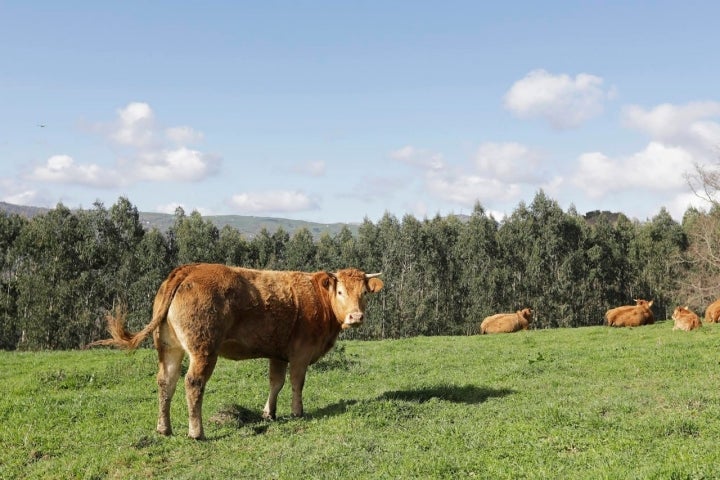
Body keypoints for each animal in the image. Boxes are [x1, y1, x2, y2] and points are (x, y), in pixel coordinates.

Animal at [90, 262, 382, 438]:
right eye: (341, 292)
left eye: (364, 294)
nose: (356, 317)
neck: (320, 301)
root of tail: (189, 269)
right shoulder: (301, 352)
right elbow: (296, 383)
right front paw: (297, 412)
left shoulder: (277, 352)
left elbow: (276, 382)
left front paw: (269, 413)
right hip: (204, 349)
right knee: (192, 383)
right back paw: (196, 432)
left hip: (169, 348)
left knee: (166, 382)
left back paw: (164, 428)